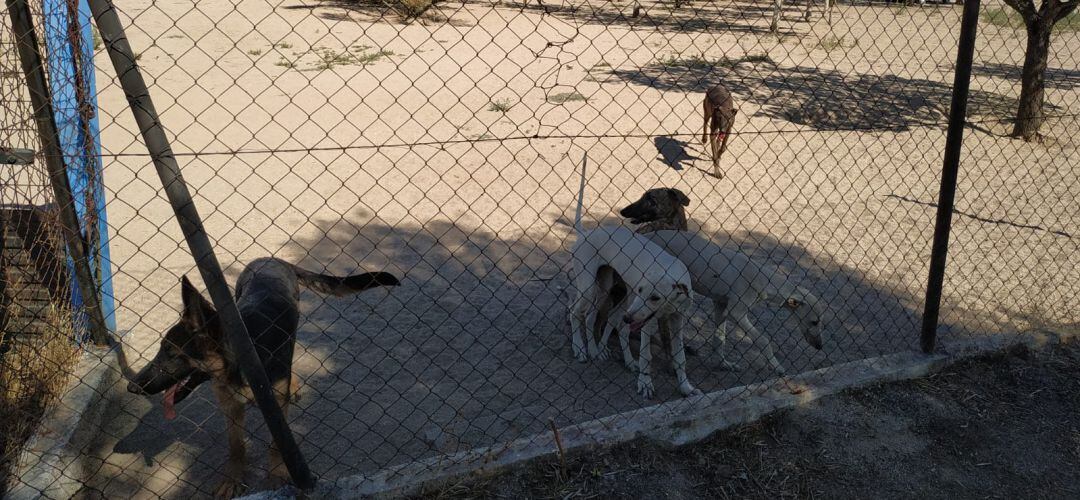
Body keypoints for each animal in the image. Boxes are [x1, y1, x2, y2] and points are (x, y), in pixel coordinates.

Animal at [129, 258, 401, 496]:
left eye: (171, 353)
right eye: (161, 349)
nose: (132, 387)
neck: (242, 362)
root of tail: (270, 259)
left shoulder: (276, 405)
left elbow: (276, 444)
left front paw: (277, 477)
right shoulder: (231, 406)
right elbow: (236, 446)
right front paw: (233, 479)